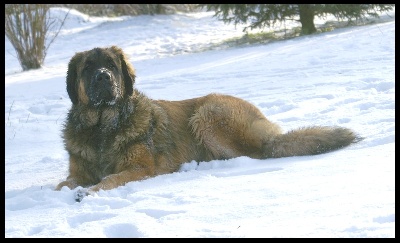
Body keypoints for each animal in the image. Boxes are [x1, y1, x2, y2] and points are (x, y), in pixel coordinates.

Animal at [55, 45, 360, 201]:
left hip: (206, 114)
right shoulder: (78, 170)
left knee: (258, 154)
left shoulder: (140, 168)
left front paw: (90, 192)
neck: (102, 126)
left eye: (111, 65)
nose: (103, 77)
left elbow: (110, 178)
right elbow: (62, 184)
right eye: (88, 69)